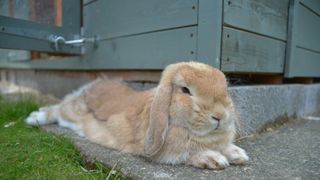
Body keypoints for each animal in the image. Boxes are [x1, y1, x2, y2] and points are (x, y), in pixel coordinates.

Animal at [26, 61, 249, 169]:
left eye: (225, 89)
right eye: (186, 90)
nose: (219, 115)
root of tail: (91, 85)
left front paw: (238, 154)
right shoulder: (167, 152)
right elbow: (188, 153)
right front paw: (215, 159)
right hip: (73, 111)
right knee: (57, 110)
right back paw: (33, 118)